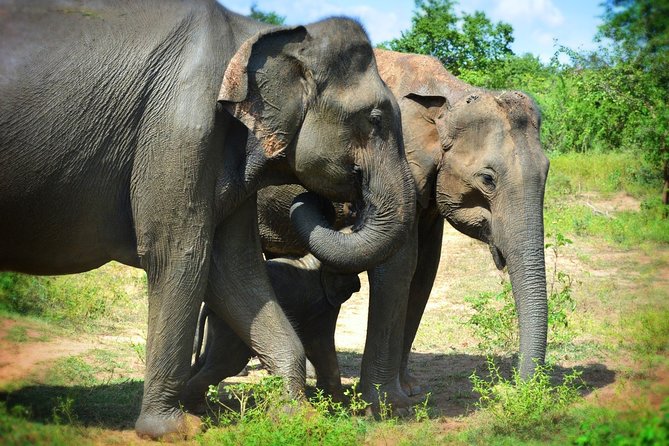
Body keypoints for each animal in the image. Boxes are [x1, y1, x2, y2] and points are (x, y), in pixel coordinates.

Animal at [188, 253, 360, 410]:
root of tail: (207, 306)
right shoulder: (319, 304)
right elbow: (319, 343)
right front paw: (339, 405)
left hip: (218, 323)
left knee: (207, 359)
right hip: (230, 325)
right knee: (228, 364)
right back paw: (196, 407)